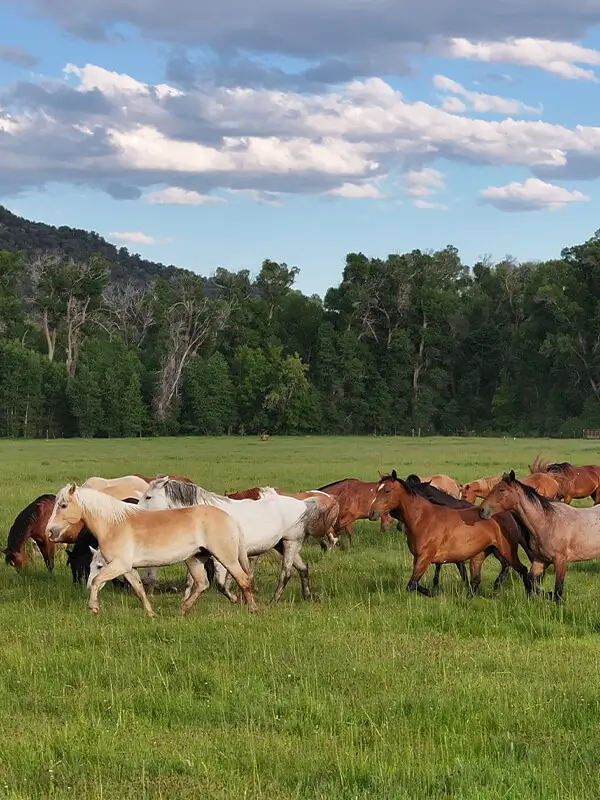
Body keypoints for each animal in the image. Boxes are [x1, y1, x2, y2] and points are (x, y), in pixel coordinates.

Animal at [46, 483, 256, 616]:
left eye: (63, 505)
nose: (49, 532)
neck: (114, 524)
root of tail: (229, 517)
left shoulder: (119, 565)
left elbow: (99, 580)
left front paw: (94, 608)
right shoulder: (128, 568)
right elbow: (139, 589)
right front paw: (151, 613)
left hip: (226, 558)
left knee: (243, 579)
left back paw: (253, 609)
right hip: (195, 559)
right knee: (202, 584)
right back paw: (183, 610)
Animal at [137, 477, 327, 603]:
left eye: (149, 497)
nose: (135, 511)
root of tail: (302, 504)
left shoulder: (219, 558)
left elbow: (221, 584)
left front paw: (236, 599)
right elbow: (191, 581)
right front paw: (186, 602)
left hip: (291, 543)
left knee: (286, 574)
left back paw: (273, 601)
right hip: (282, 545)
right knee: (303, 568)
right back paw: (307, 596)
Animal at [368, 470, 532, 598]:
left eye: (387, 491)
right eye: (376, 490)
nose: (372, 513)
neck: (422, 517)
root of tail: (507, 513)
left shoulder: (425, 557)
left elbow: (412, 584)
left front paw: (435, 593)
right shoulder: (418, 558)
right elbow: (416, 583)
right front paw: (435, 591)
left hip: (506, 551)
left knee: (522, 570)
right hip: (482, 554)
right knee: (478, 579)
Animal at [480, 470, 600, 603]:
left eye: (501, 490)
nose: (482, 510)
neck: (547, 522)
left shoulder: (560, 561)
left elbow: (558, 589)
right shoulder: (541, 560)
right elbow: (530, 580)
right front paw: (547, 594)